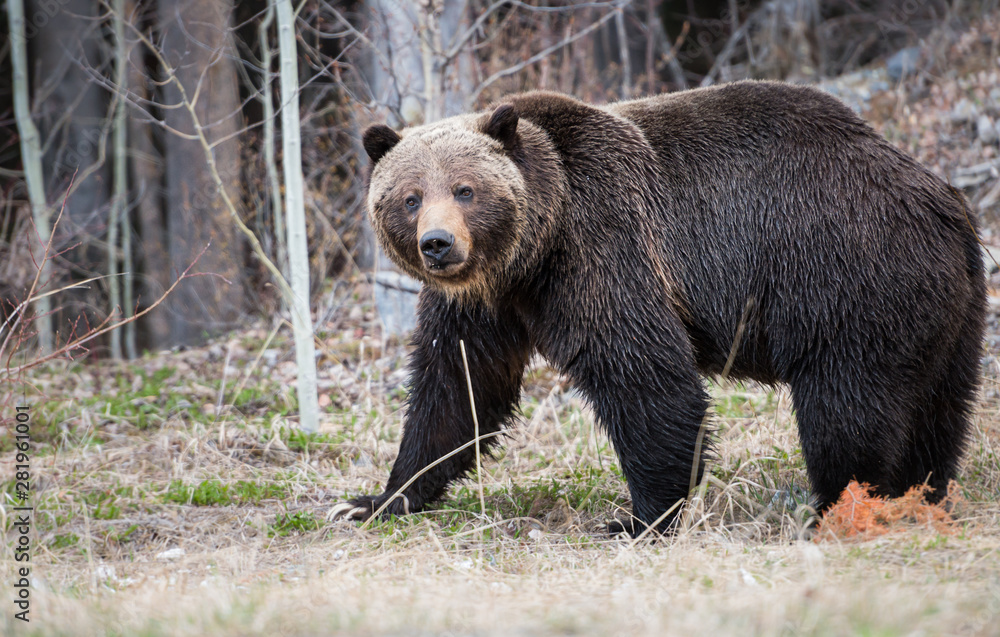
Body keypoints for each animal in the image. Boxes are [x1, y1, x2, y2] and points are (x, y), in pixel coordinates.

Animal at [333, 80, 986, 535]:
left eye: (465, 189)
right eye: (409, 197)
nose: (438, 243)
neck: (530, 253)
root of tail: (944, 200)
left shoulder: (602, 248)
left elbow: (646, 379)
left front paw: (637, 518)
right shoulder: (482, 303)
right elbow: (457, 389)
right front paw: (376, 500)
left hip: (846, 279)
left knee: (845, 410)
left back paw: (837, 508)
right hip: (947, 312)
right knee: (937, 411)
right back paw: (922, 494)